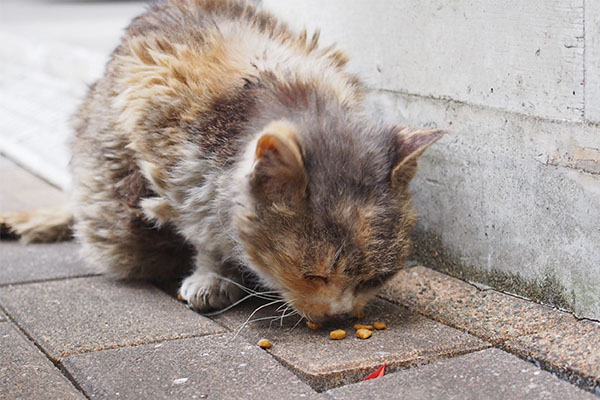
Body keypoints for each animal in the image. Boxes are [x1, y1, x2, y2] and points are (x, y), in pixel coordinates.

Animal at [2, 0, 442, 320]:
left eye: (377, 278)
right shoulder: (175, 163)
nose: (341, 316)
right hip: (114, 213)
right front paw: (213, 276)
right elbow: (204, 230)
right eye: (313, 275)